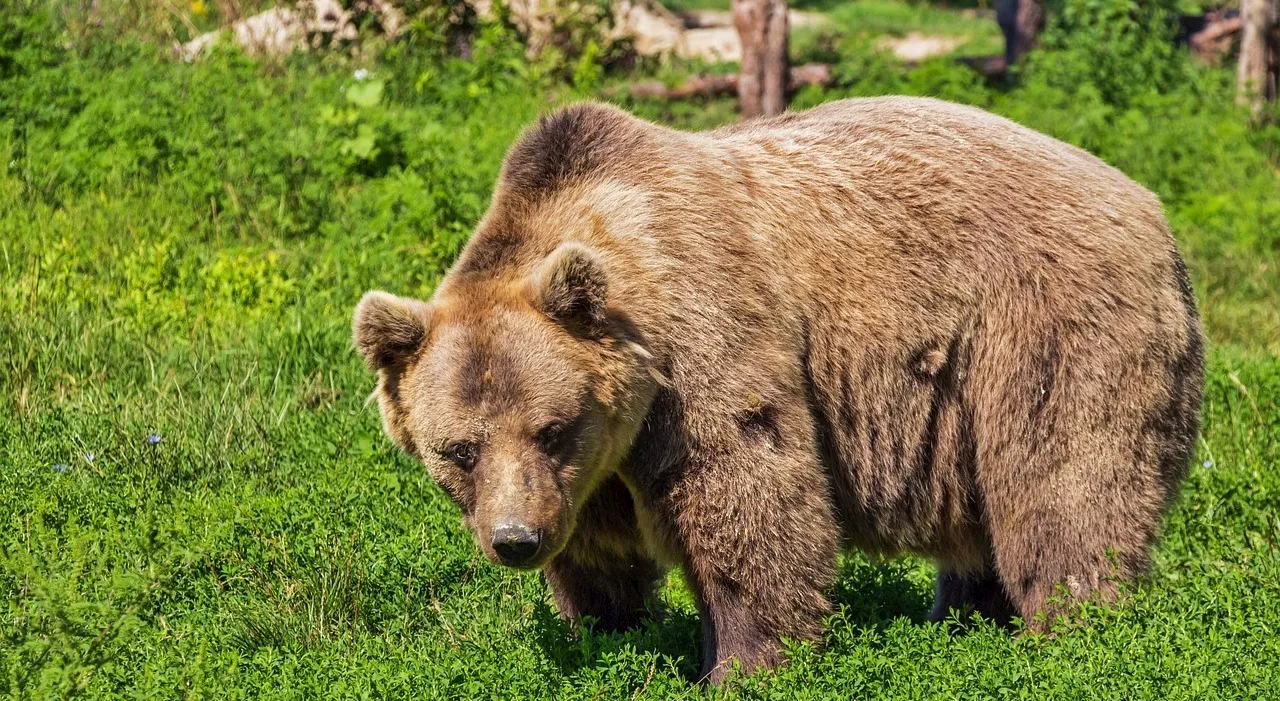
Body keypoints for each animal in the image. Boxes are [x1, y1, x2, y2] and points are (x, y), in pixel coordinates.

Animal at [350, 98, 1198, 685]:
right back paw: (963, 616)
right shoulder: (593, 469)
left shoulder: (701, 342)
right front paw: (607, 630)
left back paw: (1069, 629)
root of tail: (1151, 207)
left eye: (551, 427)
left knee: (1064, 482)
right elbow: (598, 550)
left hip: (1044, 326)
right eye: (459, 449)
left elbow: (746, 491)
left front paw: (741, 662)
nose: (516, 539)